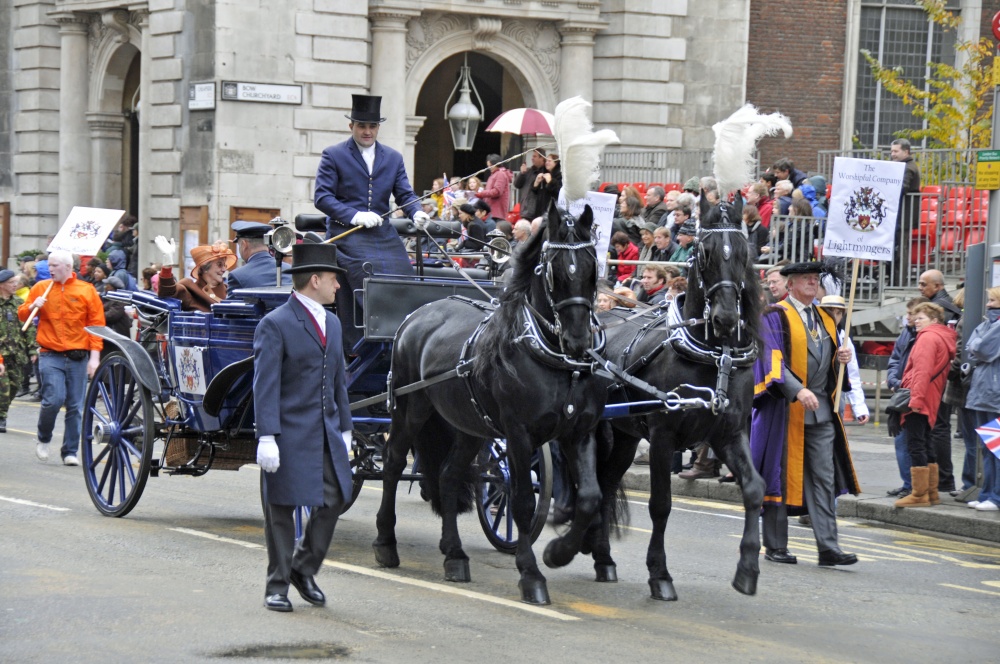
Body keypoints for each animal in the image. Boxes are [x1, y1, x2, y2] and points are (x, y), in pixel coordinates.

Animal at [374, 204, 604, 608]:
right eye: (553, 271)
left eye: (592, 267)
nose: (577, 340)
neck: (553, 359)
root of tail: (418, 313)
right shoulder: (519, 434)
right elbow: (523, 501)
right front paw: (531, 574)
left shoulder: (580, 432)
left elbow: (590, 498)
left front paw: (558, 552)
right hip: (410, 410)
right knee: (393, 463)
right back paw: (386, 543)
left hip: (468, 426)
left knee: (448, 474)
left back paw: (454, 555)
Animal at [588, 195, 760, 600]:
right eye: (706, 252)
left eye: (744, 252)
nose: (727, 318)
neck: (714, 356)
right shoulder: (664, 435)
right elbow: (661, 504)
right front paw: (660, 574)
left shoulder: (729, 432)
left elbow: (754, 489)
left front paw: (747, 569)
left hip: (624, 436)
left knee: (606, 484)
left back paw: (603, 559)